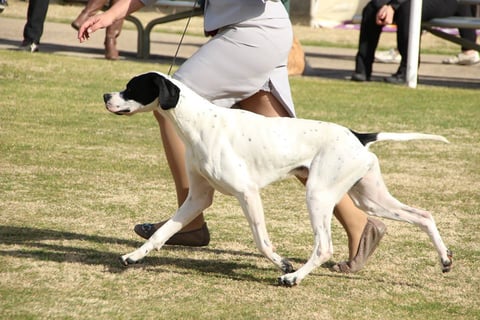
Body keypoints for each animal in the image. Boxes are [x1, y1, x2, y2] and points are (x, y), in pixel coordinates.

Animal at [103, 72, 452, 284]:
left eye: (132, 87)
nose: (106, 94)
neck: (201, 122)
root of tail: (357, 135)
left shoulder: (247, 193)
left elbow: (261, 240)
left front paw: (283, 264)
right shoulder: (198, 197)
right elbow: (161, 234)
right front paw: (134, 256)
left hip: (318, 195)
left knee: (324, 247)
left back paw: (293, 278)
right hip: (369, 198)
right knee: (423, 215)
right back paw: (445, 259)